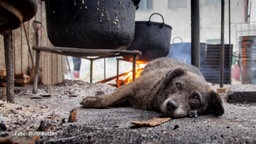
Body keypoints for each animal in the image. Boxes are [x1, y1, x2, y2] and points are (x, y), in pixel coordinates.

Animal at [80, 57, 224, 118]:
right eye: (177, 85)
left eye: (195, 97)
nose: (171, 105)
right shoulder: (130, 87)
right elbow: (106, 99)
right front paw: (92, 101)